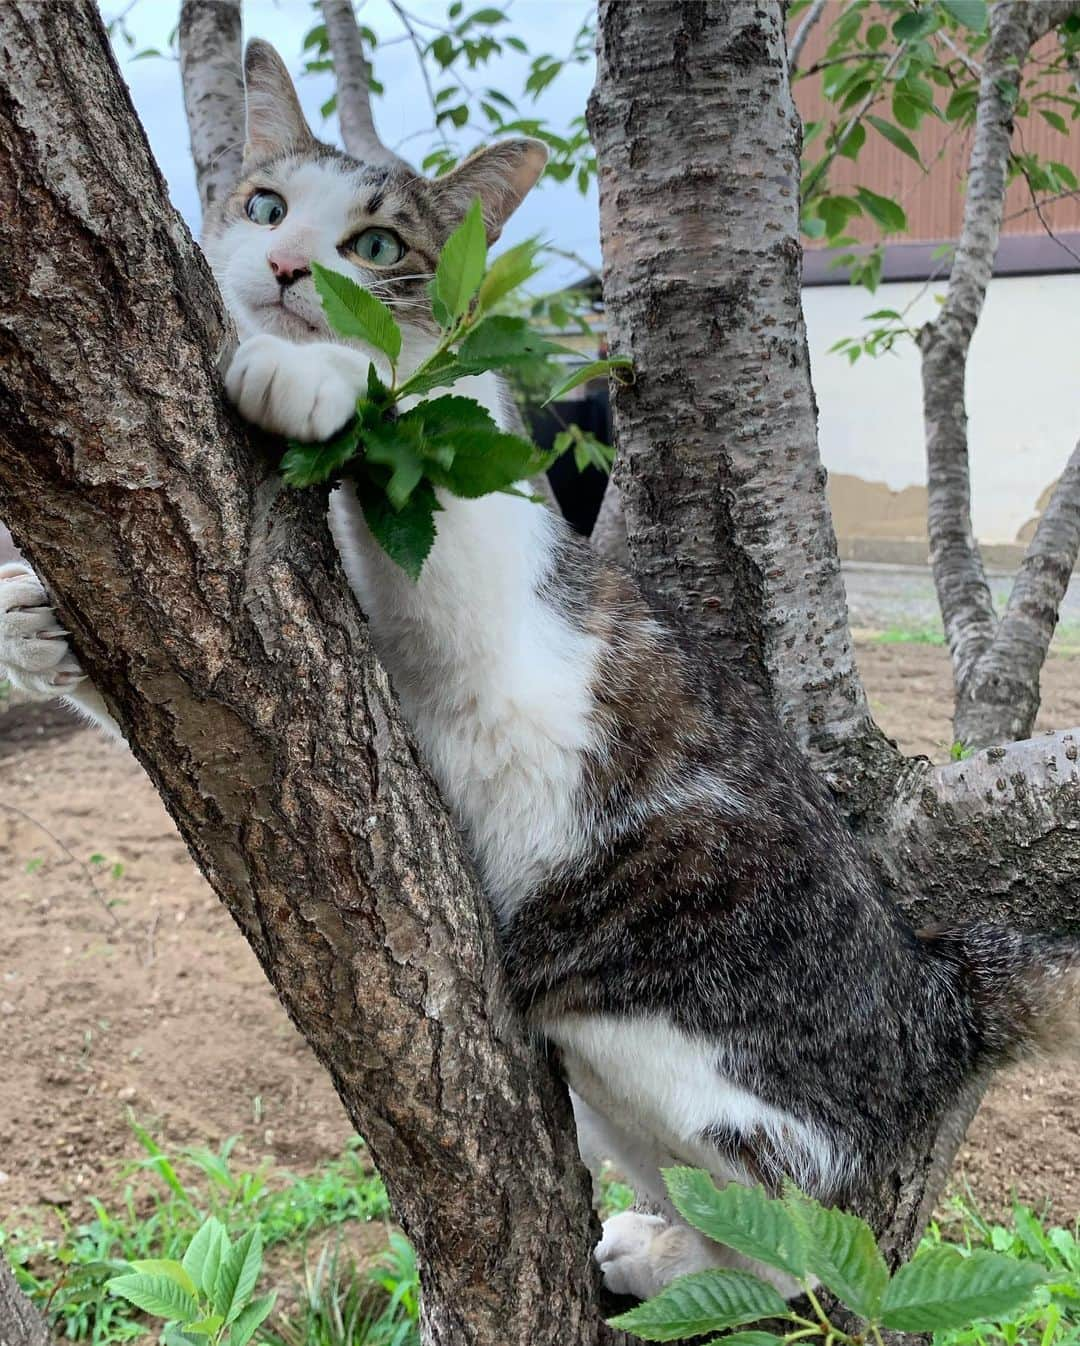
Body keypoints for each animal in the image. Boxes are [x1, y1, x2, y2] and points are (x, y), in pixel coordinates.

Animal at [2, 39, 1077, 1302]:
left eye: (379, 247)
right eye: (263, 204)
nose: (281, 267)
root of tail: (937, 998)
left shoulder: (494, 576)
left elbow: (425, 432)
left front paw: (319, 375)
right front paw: (37, 623)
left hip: (640, 1022)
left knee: (805, 1236)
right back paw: (660, 1248)